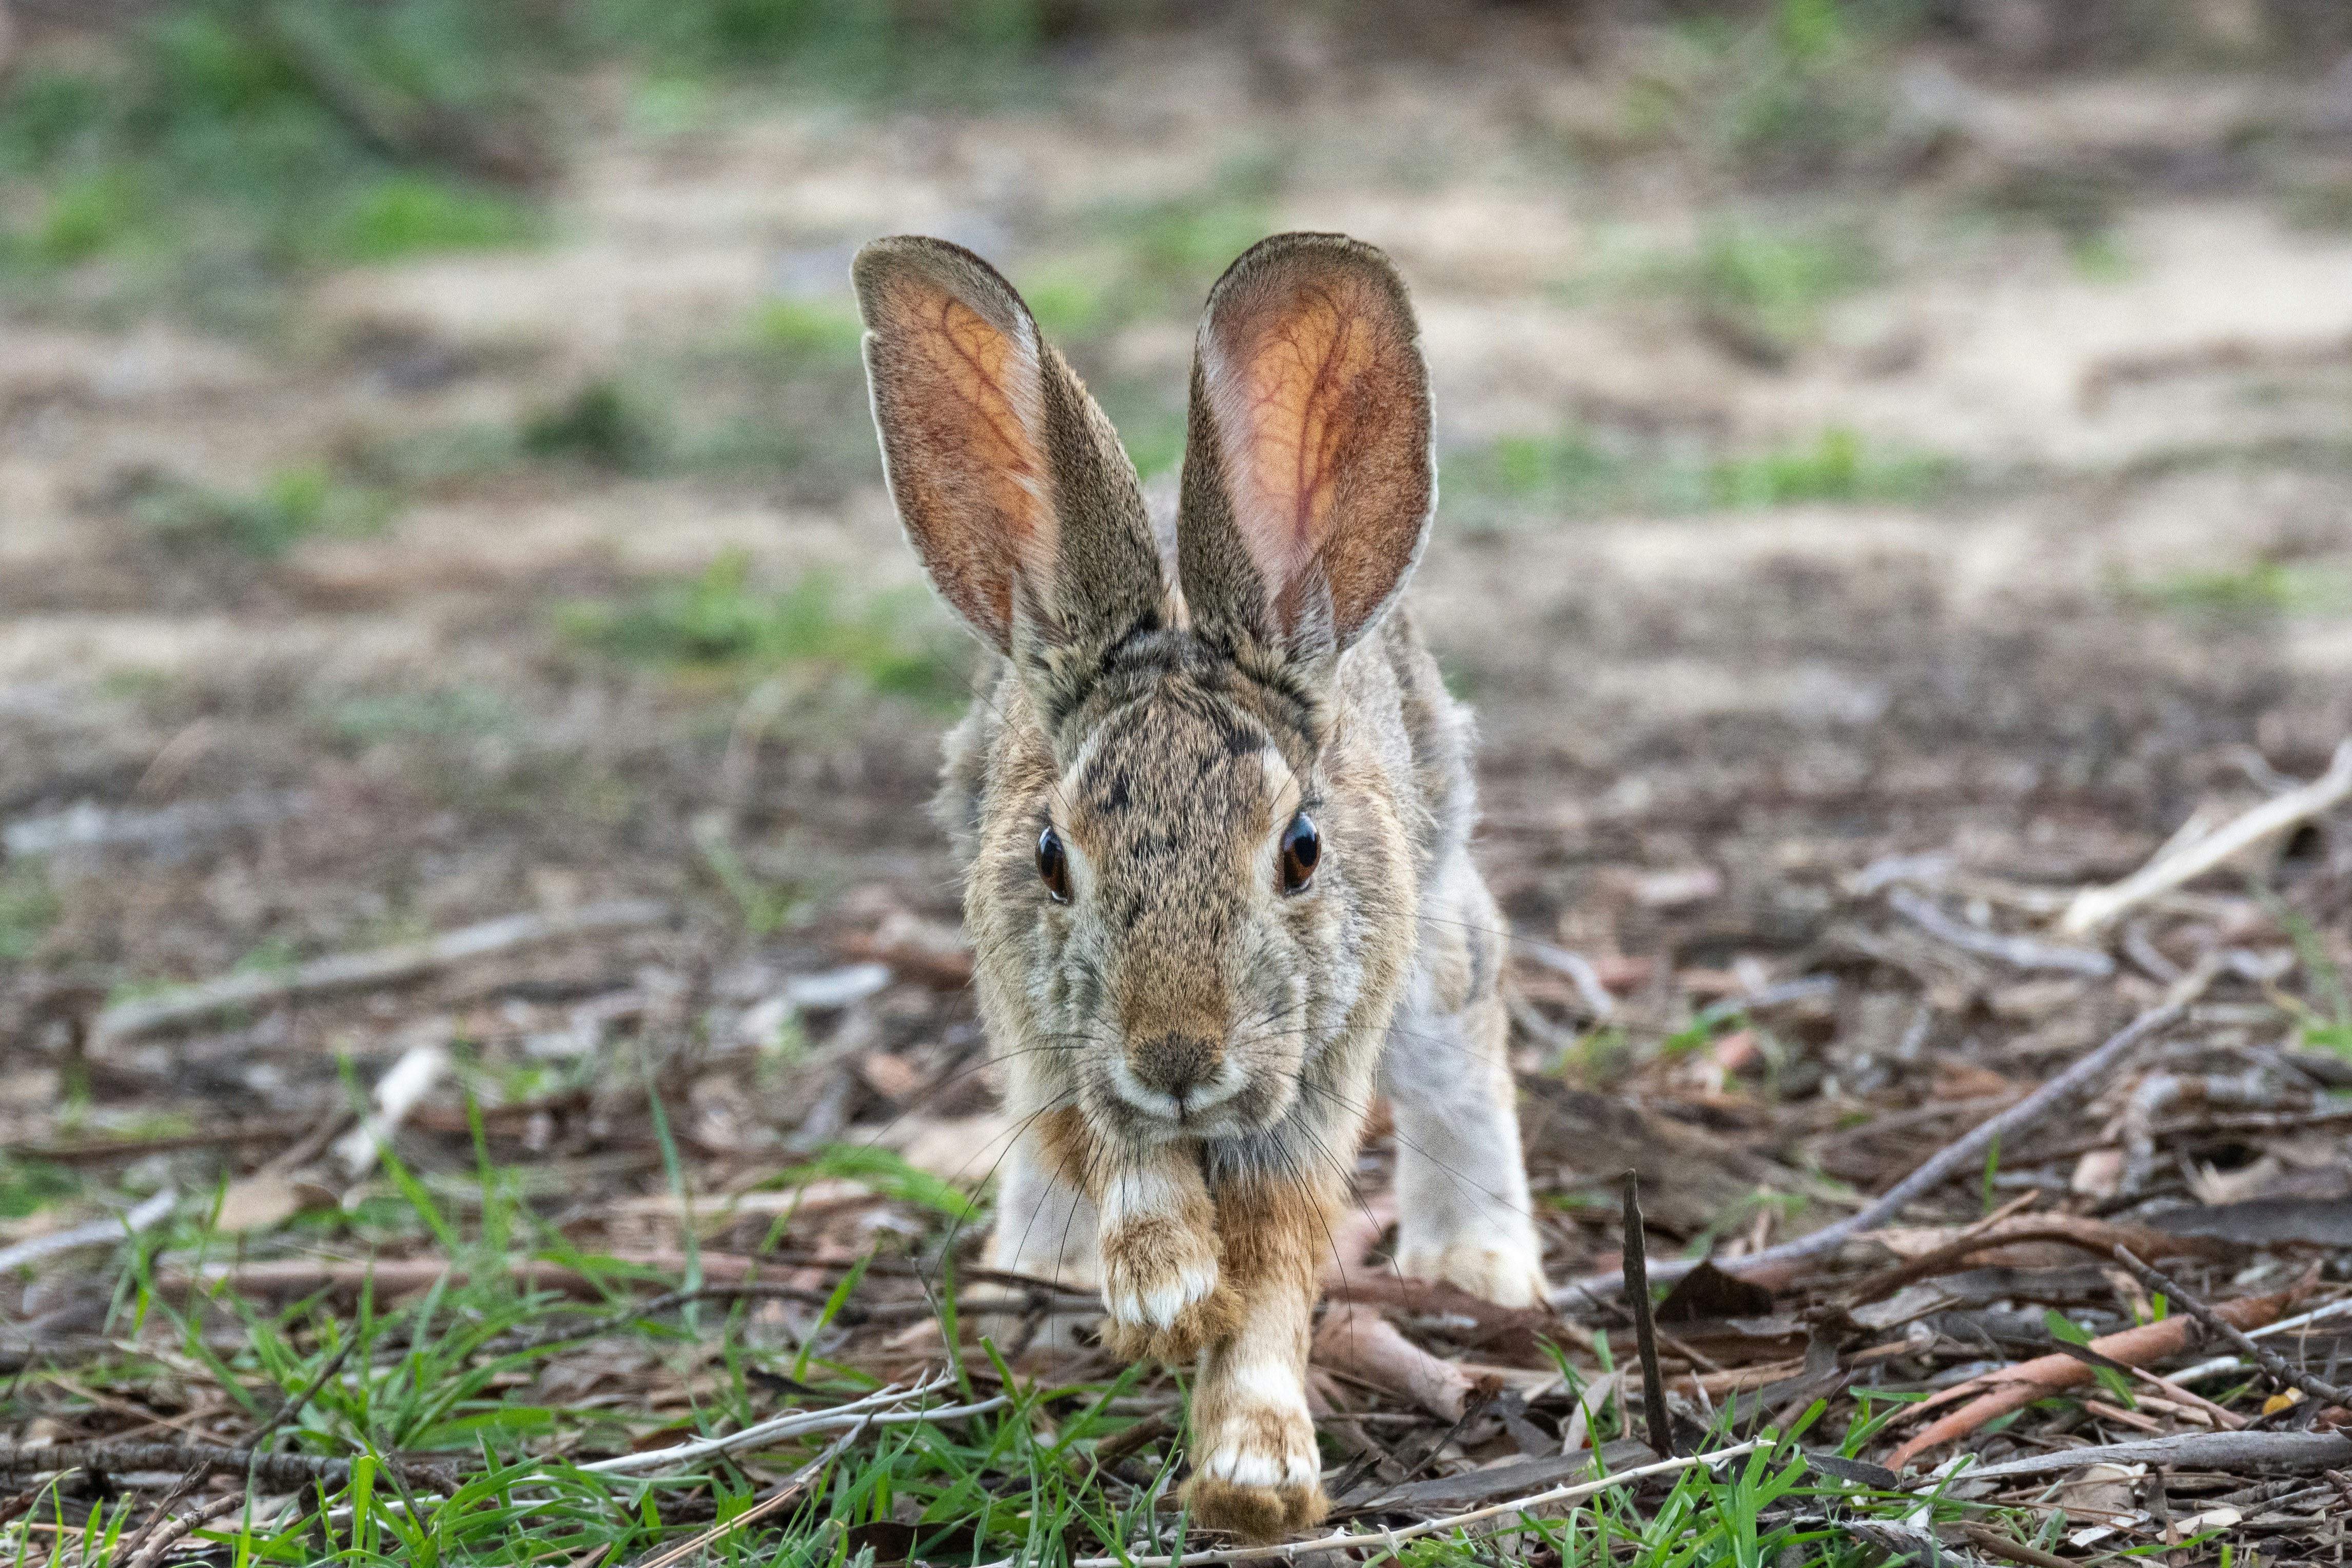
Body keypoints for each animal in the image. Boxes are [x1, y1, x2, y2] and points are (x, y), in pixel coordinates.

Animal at [852, 230, 1547, 1542]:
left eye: (1302, 849)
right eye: (1049, 857)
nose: (1177, 1057)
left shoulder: (1315, 1076)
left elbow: (1275, 1266)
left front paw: (1254, 1471)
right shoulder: (1054, 1030)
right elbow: (1111, 1148)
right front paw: (1164, 1287)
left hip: (1428, 955)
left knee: (1468, 1016)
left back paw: (1479, 1265)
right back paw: (1044, 1278)